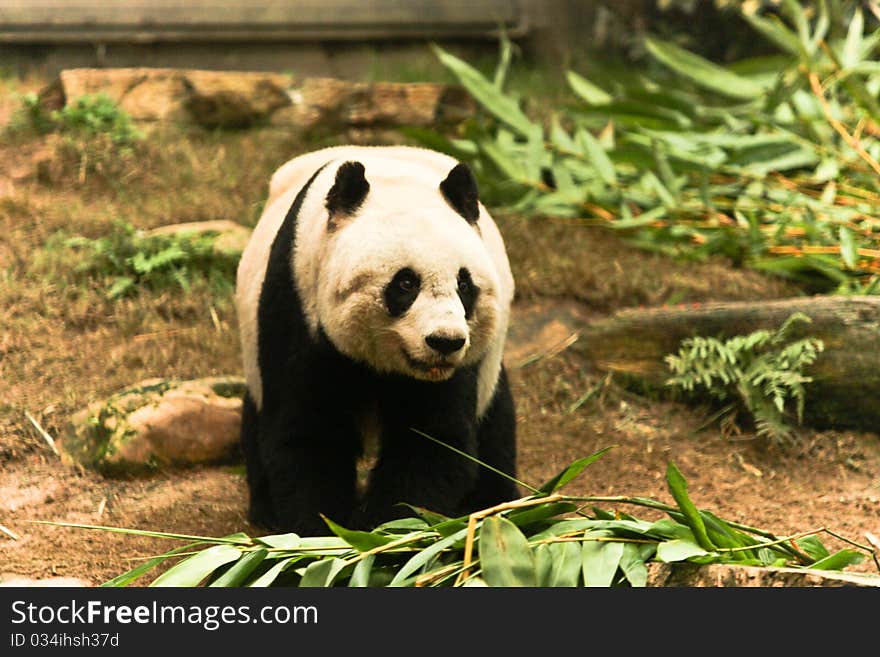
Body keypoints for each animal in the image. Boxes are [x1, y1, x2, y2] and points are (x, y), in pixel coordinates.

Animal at [237, 144, 520, 532]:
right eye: (406, 283)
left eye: (464, 285)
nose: (444, 342)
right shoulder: (299, 308)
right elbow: (310, 434)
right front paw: (324, 531)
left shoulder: (460, 366)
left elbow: (433, 441)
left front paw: (384, 531)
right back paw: (264, 510)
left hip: (487, 366)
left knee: (495, 421)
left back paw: (495, 502)